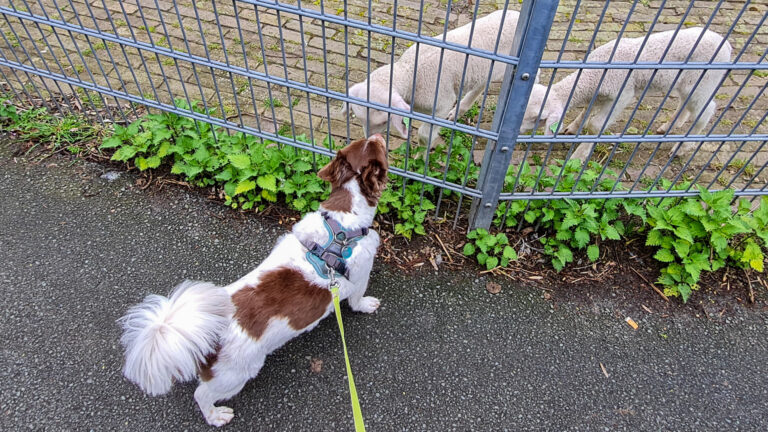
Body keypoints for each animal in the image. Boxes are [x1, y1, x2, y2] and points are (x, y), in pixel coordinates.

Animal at [120, 135, 390, 426]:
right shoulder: (360, 275)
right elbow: (357, 299)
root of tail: (209, 332)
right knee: (202, 394)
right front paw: (366, 305)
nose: (377, 136)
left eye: (360, 141)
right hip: (237, 373)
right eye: (380, 150)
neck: (341, 225)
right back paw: (216, 415)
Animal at [344, 8, 520, 146]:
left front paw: (420, 160)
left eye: (383, 121)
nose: (369, 140)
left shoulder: (443, 103)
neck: (410, 72)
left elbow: (424, 136)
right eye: (359, 118)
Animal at [520, 27, 732, 162]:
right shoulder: (600, 93)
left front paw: (579, 155)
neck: (593, 75)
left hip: (704, 80)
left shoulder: (623, 94)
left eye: (536, 118)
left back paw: (682, 147)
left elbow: (596, 125)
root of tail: (726, 44)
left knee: (705, 111)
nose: (518, 130)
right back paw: (669, 125)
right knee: (686, 103)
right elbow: (586, 110)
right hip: (687, 82)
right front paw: (572, 127)